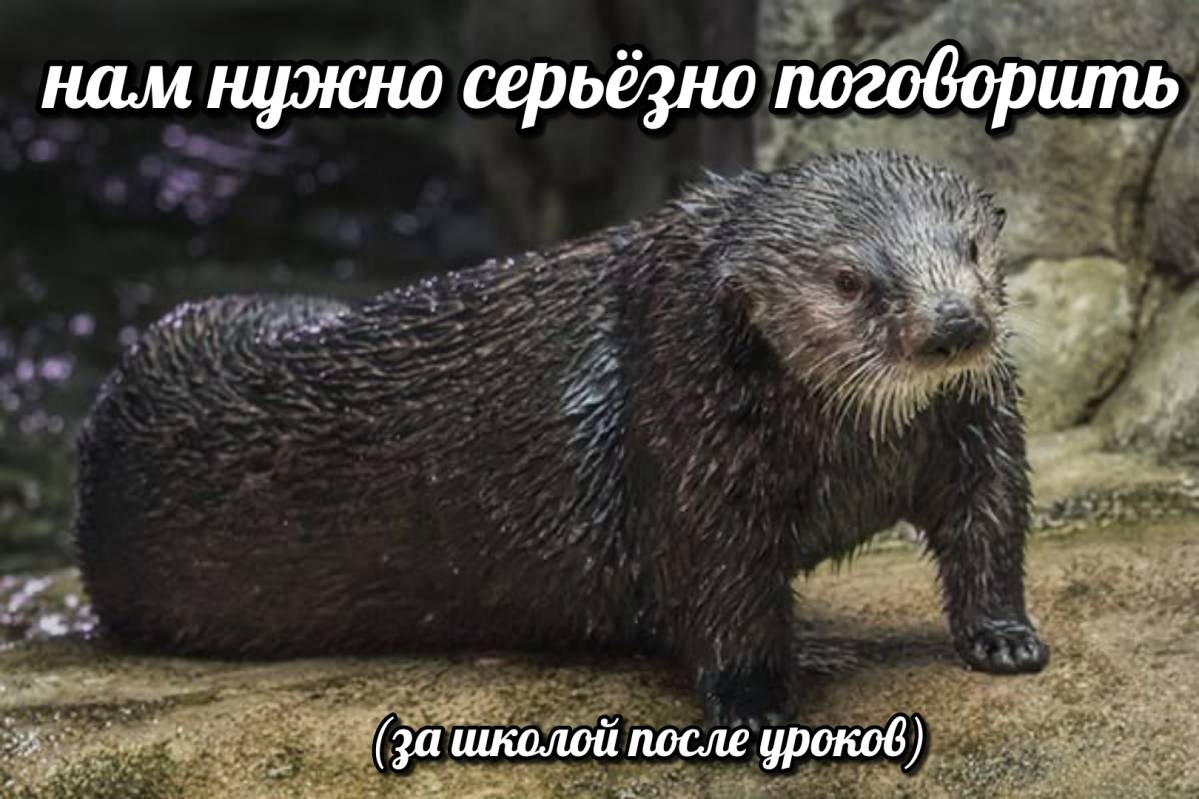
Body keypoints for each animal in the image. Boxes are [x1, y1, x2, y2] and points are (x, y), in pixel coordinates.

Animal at [76, 151, 1048, 728]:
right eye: (849, 280)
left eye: (967, 248)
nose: (954, 324)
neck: (849, 446)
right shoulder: (686, 435)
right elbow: (717, 588)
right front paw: (757, 703)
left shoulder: (974, 426)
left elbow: (988, 525)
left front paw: (1004, 640)